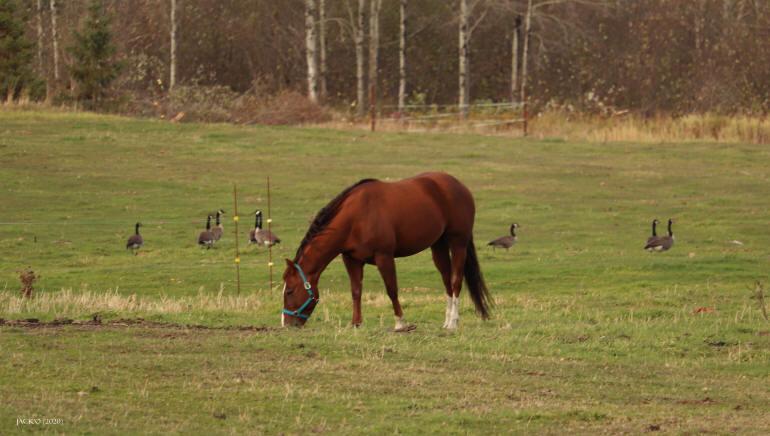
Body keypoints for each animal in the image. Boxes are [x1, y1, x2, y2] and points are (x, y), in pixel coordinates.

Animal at [280, 172, 488, 328]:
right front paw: (356, 323)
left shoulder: (384, 257)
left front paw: (400, 323)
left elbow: (392, 289)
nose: (286, 324)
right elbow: (356, 290)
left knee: (455, 281)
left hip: (458, 243)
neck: (356, 218)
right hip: (438, 245)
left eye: (289, 291)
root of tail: (459, 186)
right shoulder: (351, 259)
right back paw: (446, 321)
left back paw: (453, 322)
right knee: (446, 281)